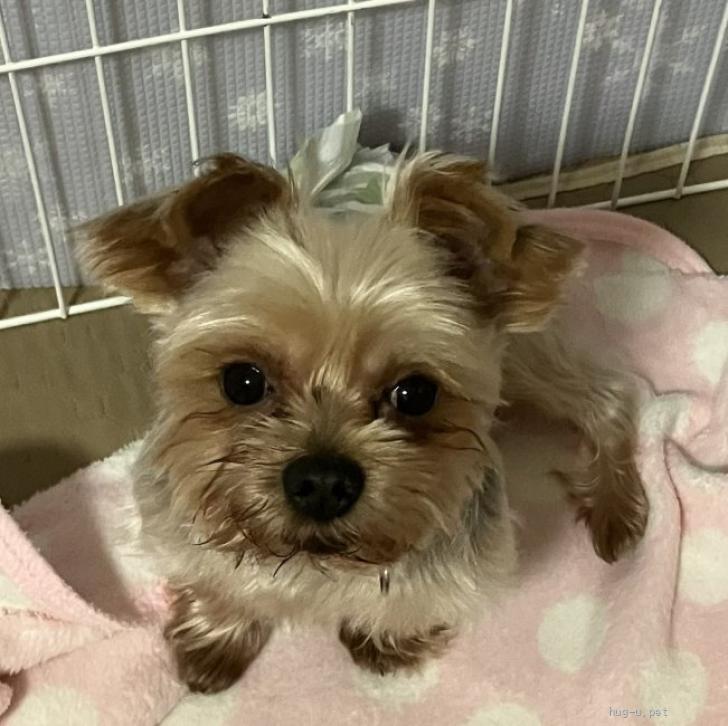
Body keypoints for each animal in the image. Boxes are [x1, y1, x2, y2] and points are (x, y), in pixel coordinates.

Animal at [78, 152, 648, 694]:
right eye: (242, 381)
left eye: (415, 393)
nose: (323, 481)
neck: (313, 562)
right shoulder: (178, 525)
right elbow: (217, 578)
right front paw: (216, 637)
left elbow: (412, 604)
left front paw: (385, 644)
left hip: (524, 357)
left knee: (609, 397)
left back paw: (616, 509)